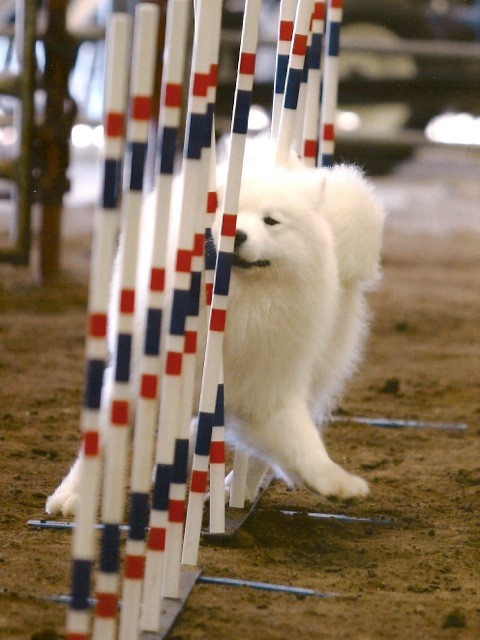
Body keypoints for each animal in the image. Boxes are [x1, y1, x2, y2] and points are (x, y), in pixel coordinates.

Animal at [47, 142, 384, 516]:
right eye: (222, 208)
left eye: (271, 220)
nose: (236, 233)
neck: (237, 303)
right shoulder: (136, 375)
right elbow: (102, 443)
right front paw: (72, 496)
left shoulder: (269, 388)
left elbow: (303, 443)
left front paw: (335, 482)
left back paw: (234, 489)